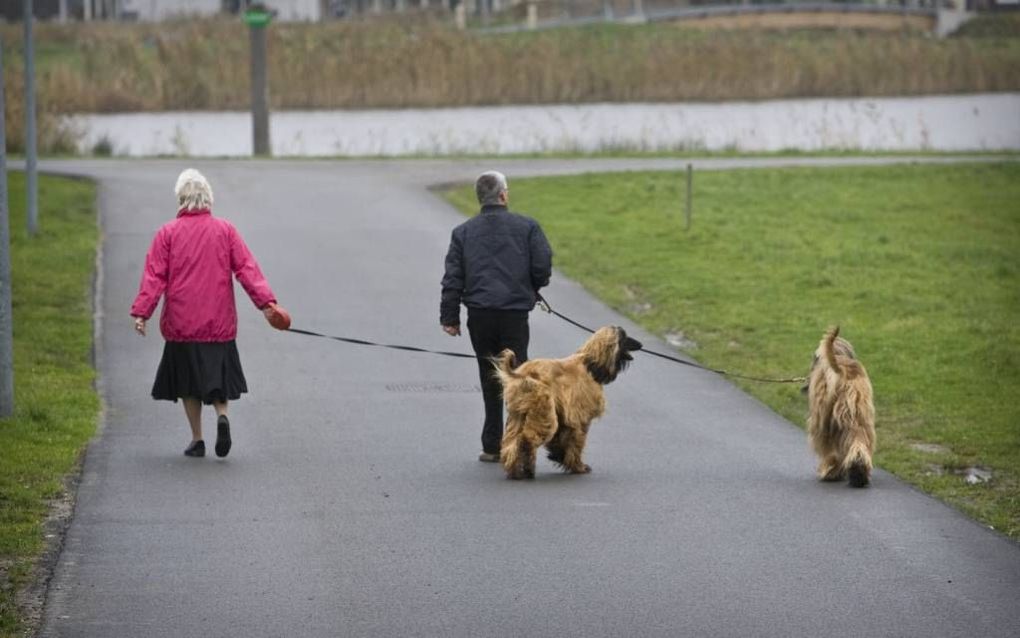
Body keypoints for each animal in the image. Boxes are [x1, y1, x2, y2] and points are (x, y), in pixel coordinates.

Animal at [489, 328, 640, 477]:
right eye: (625, 337)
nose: (640, 345)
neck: (591, 365)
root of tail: (521, 374)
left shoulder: (566, 414)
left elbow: (564, 438)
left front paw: (560, 457)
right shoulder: (580, 417)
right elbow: (577, 441)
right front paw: (578, 466)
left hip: (518, 413)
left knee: (511, 442)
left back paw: (515, 469)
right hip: (543, 410)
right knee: (527, 439)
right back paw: (527, 469)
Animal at [803, 326, 877, 485]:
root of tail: (841, 369)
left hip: (824, 419)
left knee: (830, 449)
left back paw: (830, 471)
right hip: (859, 413)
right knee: (858, 439)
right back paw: (859, 471)